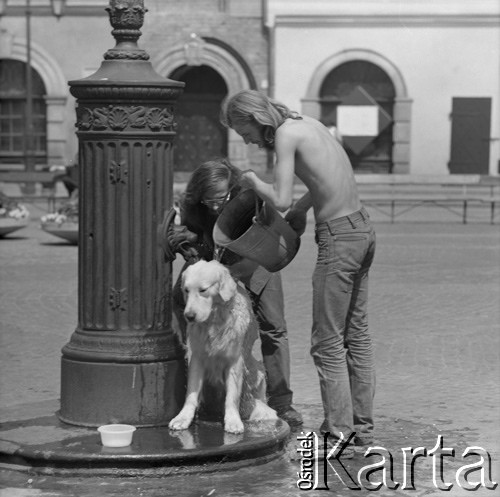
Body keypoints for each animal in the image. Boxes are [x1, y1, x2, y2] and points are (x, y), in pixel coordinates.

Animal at [169, 258, 278, 432]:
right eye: (186, 290)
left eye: (203, 290)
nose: (189, 316)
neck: (214, 319)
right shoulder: (197, 358)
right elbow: (191, 394)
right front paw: (182, 418)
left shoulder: (235, 360)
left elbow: (232, 396)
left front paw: (233, 421)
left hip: (259, 373)